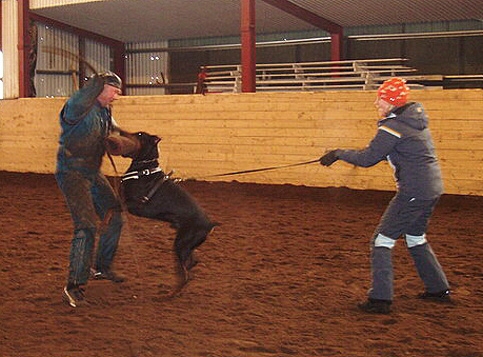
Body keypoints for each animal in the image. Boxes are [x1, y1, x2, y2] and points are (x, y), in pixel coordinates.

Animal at [108, 132, 219, 294]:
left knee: (186, 274)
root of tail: (210, 224)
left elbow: (112, 207)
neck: (144, 168)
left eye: (139, 134)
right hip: (186, 245)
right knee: (192, 263)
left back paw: (171, 293)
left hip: (181, 244)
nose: (121, 132)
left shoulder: (134, 204)